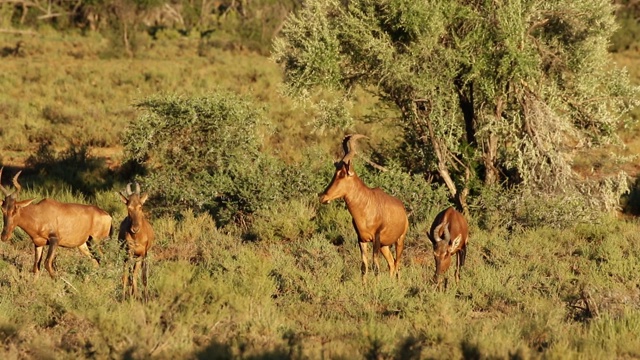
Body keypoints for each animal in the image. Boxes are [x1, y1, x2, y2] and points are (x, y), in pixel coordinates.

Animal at [320, 135, 410, 278]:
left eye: (342, 174)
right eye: (335, 172)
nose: (323, 197)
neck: (366, 204)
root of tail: (403, 209)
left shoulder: (376, 238)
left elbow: (376, 268)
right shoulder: (361, 239)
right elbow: (364, 267)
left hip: (400, 240)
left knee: (397, 266)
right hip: (384, 245)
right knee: (391, 264)